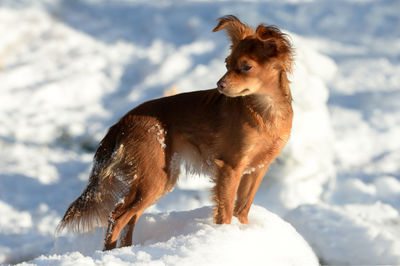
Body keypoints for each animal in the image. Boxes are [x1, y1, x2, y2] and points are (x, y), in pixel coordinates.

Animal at [57, 15, 294, 250]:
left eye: (246, 67)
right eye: (227, 64)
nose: (219, 85)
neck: (265, 111)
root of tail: (121, 123)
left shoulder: (257, 169)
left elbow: (242, 209)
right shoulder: (230, 168)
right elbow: (226, 212)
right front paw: (225, 235)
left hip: (158, 179)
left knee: (129, 219)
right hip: (154, 179)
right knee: (116, 216)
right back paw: (110, 255)